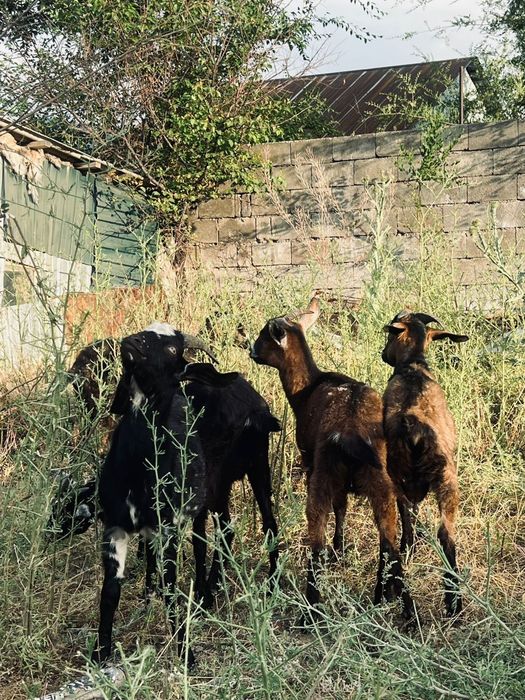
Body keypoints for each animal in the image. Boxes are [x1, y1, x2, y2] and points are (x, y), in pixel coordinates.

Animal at [92, 326, 236, 665]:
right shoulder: (115, 525)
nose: (132, 341)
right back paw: (151, 593)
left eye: (172, 349)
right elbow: (110, 592)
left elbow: (172, 589)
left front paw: (186, 653)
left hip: (211, 496)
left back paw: (206, 595)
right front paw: (101, 652)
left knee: (215, 535)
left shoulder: (167, 526)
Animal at [250, 297, 414, 619]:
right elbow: (344, 508)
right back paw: (400, 607)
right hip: (381, 483)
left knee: (317, 542)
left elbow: (340, 509)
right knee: (388, 542)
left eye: (264, 335)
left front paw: (338, 550)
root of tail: (351, 438)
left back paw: (311, 608)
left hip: (323, 478)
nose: (251, 350)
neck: (307, 389)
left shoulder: (309, 459)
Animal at [381, 311, 468, 617]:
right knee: (445, 534)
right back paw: (452, 602)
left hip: (399, 479)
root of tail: (415, 431)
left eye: (390, 334)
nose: (383, 354)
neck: (413, 368)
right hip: (444, 480)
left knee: (398, 537)